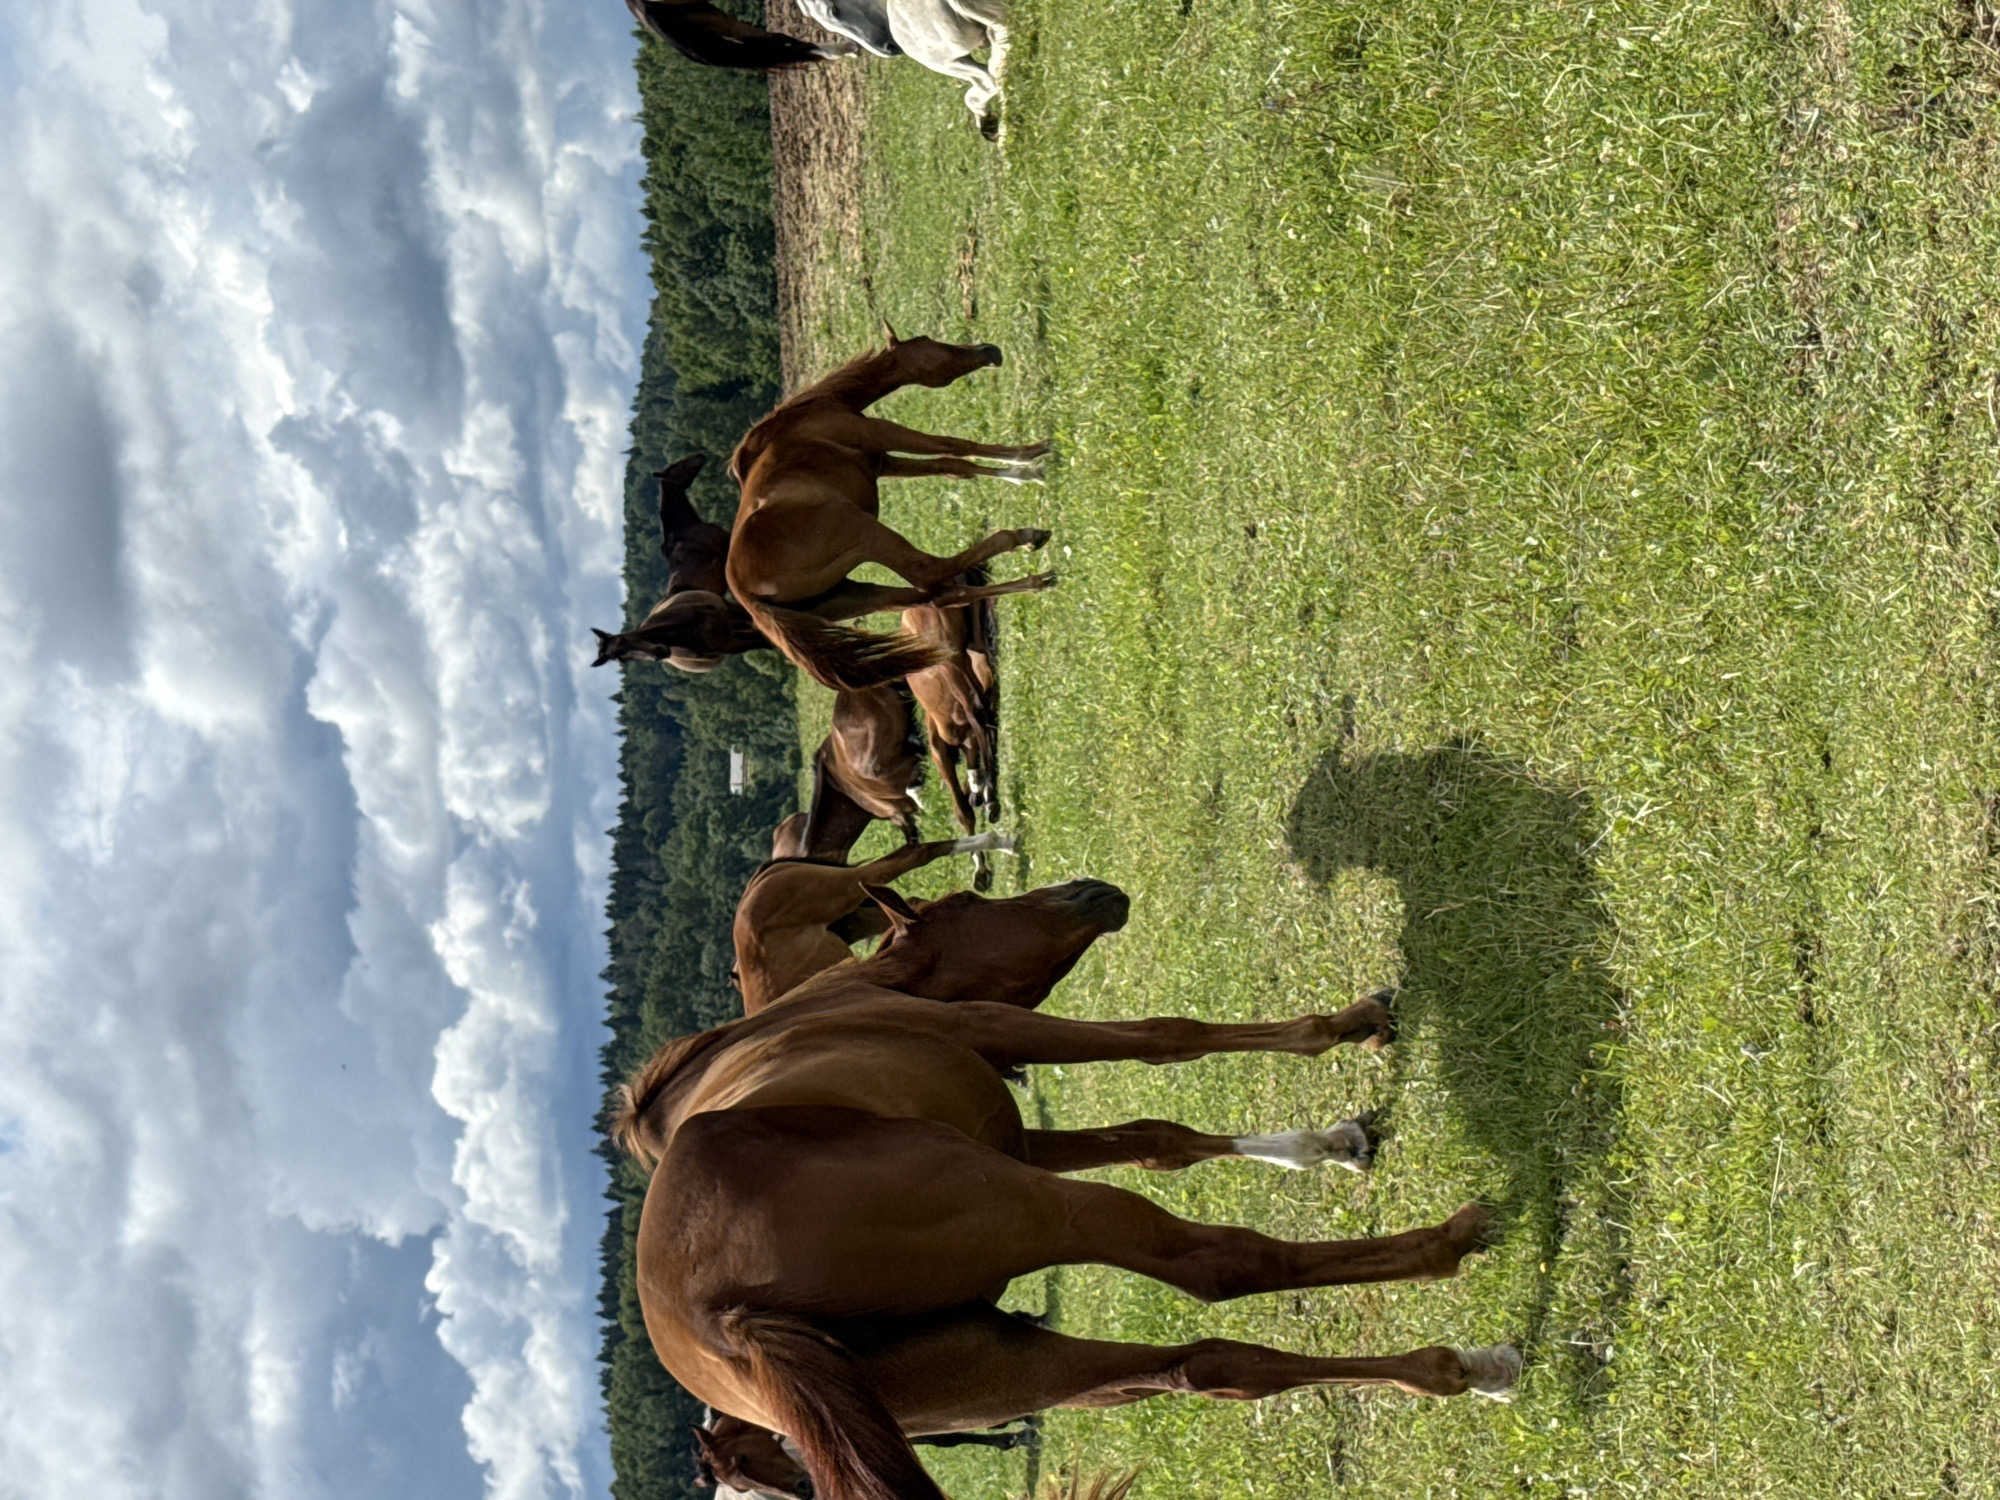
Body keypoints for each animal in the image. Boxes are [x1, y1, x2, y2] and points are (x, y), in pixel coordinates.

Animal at [613, 882, 1518, 1500]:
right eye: (973, 899)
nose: (1092, 888)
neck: (863, 993)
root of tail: (723, 1320)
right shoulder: (1002, 1039)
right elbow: (1168, 1040)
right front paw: (1347, 1028)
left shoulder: (1016, 1135)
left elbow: (1159, 1141)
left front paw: (1324, 1143)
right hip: (1036, 1211)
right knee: (1220, 1266)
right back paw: (1449, 1246)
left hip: (1002, 1362)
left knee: (1208, 1367)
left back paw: (1459, 1370)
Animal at [725, 328, 1057, 693]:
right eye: (928, 342)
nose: (989, 350)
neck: (815, 411)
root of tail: (748, 596)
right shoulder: (885, 433)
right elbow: (956, 446)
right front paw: (1036, 455)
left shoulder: (883, 461)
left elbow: (954, 466)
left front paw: (1025, 471)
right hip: (868, 534)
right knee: (933, 571)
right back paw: (1025, 538)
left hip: (856, 595)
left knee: (938, 595)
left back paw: (1036, 581)